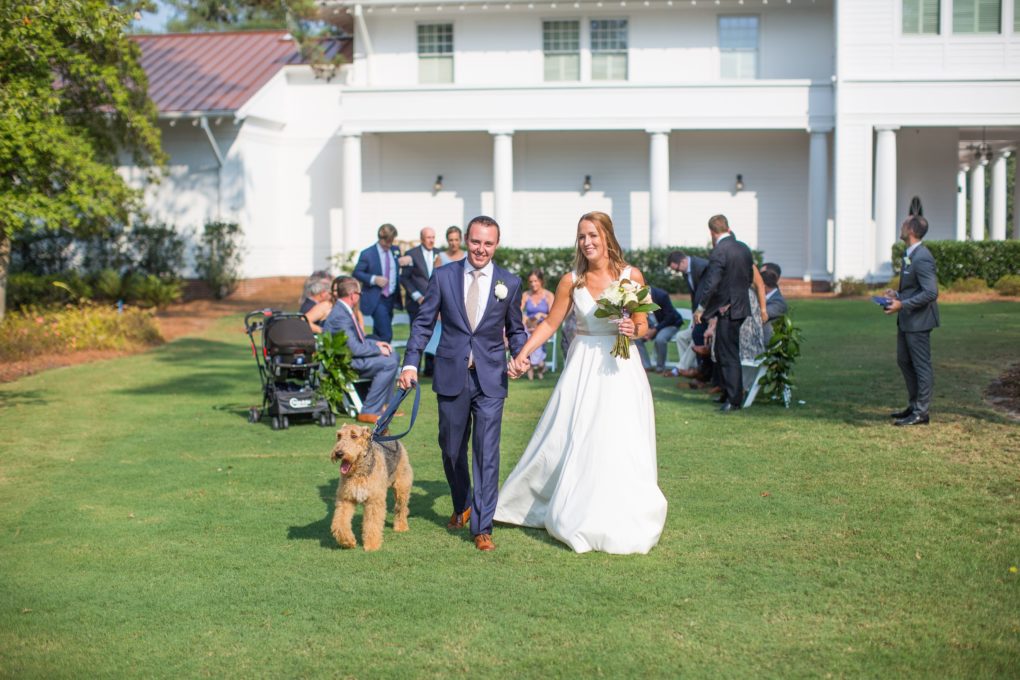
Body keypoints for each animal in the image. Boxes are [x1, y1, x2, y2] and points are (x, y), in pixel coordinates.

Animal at [328, 426, 412, 554]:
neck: (358, 472)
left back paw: (401, 527)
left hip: (401, 487)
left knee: (401, 508)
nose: (339, 453)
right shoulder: (345, 500)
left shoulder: (374, 501)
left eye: (354, 436)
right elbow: (340, 523)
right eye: (339, 435)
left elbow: (372, 525)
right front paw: (348, 541)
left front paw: (372, 546)